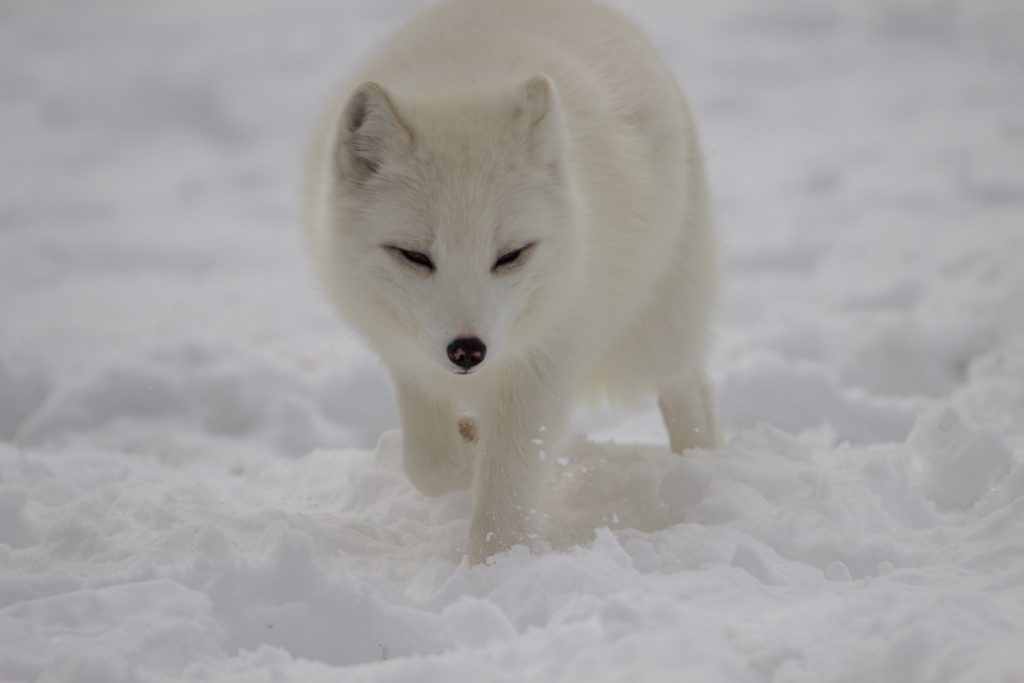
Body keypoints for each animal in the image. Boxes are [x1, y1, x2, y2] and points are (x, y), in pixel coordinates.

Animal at [303, 0, 720, 565]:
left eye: (510, 256)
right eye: (413, 256)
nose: (467, 350)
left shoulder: (547, 357)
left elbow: (508, 477)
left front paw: (496, 565)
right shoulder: (407, 352)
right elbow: (430, 465)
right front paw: (467, 444)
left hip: (657, 322)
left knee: (688, 385)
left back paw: (700, 466)